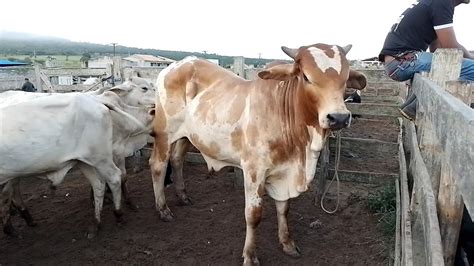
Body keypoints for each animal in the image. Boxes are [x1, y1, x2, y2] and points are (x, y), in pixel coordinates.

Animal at [148, 42, 366, 264]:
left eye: (345, 78)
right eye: (306, 77)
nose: (339, 118)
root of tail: (175, 66)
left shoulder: (284, 171)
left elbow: (284, 208)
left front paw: (287, 243)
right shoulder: (253, 171)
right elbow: (253, 215)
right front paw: (250, 255)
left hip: (187, 135)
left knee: (177, 160)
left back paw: (183, 196)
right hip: (164, 134)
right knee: (158, 165)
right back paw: (163, 209)